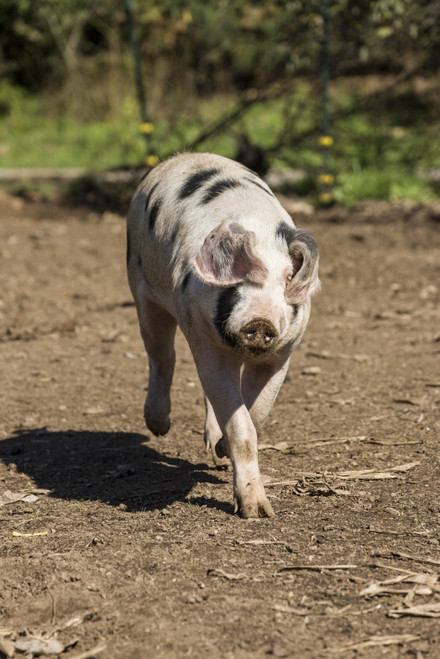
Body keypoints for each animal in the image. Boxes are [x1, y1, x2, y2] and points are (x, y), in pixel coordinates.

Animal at [126, 152, 320, 518]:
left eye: (288, 278)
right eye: (238, 279)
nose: (261, 320)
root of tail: (185, 156)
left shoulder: (283, 353)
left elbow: (257, 413)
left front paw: (220, 452)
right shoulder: (204, 339)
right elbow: (242, 426)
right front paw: (256, 512)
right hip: (140, 286)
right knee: (162, 356)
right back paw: (159, 427)